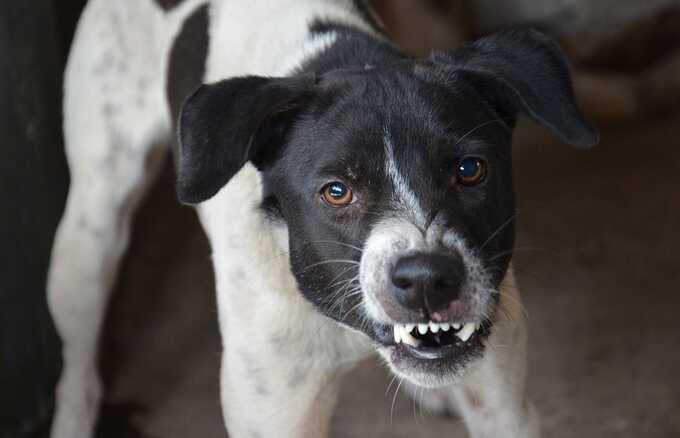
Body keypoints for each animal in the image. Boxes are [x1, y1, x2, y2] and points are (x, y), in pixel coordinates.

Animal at [47, 0, 596, 436]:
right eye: (336, 192)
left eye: (469, 169)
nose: (427, 280)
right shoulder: (276, 412)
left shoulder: (504, 406)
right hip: (89, 235)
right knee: (78, 369)